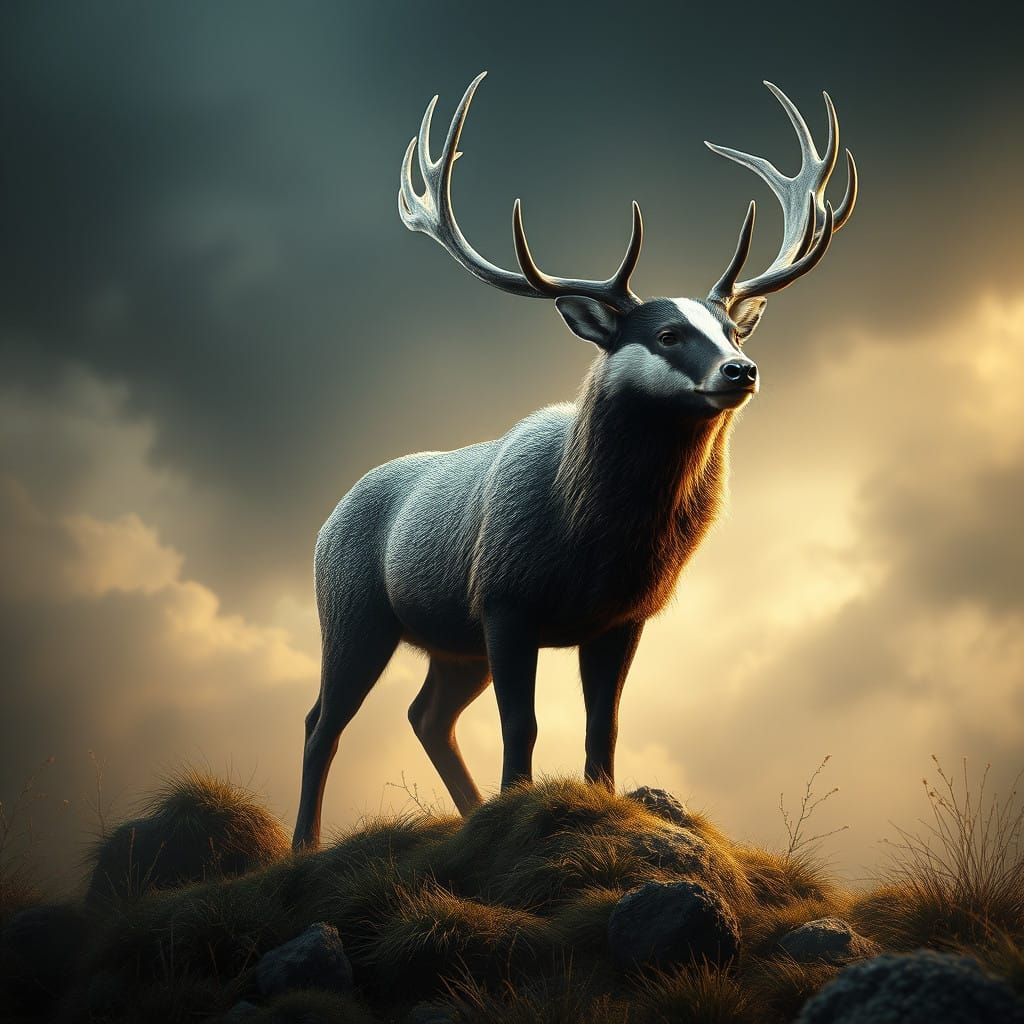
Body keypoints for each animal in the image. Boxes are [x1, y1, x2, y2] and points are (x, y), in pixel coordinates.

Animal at [293, 73, 857, 849]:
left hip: (453, 645)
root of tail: (328, 517)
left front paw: (597, 803)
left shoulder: (623, 616)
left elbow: (603, 724)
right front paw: (519, 806)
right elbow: (522, 724)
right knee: (323, 720)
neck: (591, 538)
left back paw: (468, 812)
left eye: (729, 330)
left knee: (427, 714)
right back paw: (304, 844)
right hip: (352, 609)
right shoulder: (505, 598)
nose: (740, 369)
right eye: (668, 333)